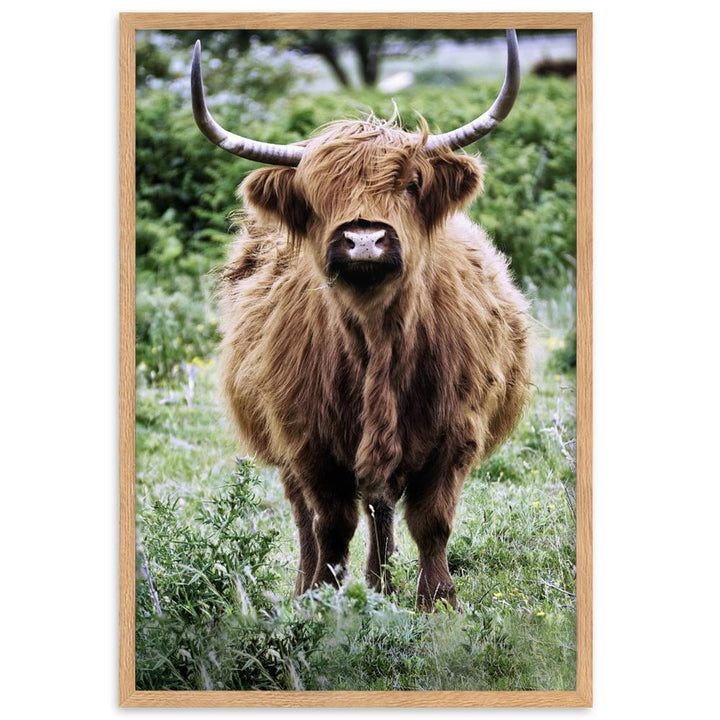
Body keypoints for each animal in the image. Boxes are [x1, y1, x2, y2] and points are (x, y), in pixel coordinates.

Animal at [191, 30, 531, 610]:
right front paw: (323, 600)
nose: (364, 239)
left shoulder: (455, 435)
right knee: (310, 516)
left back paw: (381, 582)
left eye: (412, 184)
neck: (377, 339)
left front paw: (437, 602)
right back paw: (318, 585)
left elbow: (431, 522)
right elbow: (330, 524)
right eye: (314, 194)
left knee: (381, 505)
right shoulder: (307, 442)